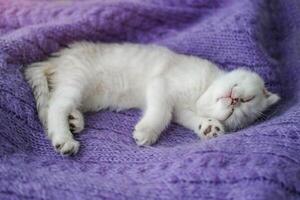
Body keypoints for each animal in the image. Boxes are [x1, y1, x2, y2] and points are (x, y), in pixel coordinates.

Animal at [24, 41, 280, 155]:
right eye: (247, 99)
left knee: (58, 102)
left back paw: (74, 120)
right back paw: (64, 138)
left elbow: (187, 118)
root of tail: (57, 60)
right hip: (78, 80)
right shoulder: (161, 83)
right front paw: (146, 131)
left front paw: (209, 127)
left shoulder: (182, 110)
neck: (201, 94)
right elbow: (161, 111)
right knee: (56, 106)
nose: (233, 101)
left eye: (235, 113)